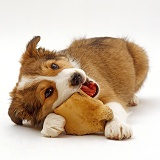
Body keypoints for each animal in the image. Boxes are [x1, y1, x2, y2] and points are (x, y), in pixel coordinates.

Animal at [8, 35, 149, 139]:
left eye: (54, 66)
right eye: (48, 92)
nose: (76, 77)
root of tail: (121, 39)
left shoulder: (110, 95)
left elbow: (114, 109)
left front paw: (117, 126)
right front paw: (51, 123)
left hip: (142, 59)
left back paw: (132, 99)